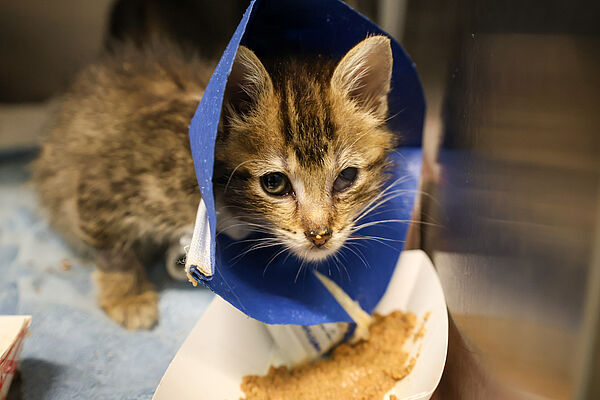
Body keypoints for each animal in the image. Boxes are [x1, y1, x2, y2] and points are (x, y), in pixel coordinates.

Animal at [32, 35, 395, 330]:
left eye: (346, 177)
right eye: (274, 183)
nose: (319, 235)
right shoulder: (106, 182)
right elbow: (113, 248)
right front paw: (128, 298)